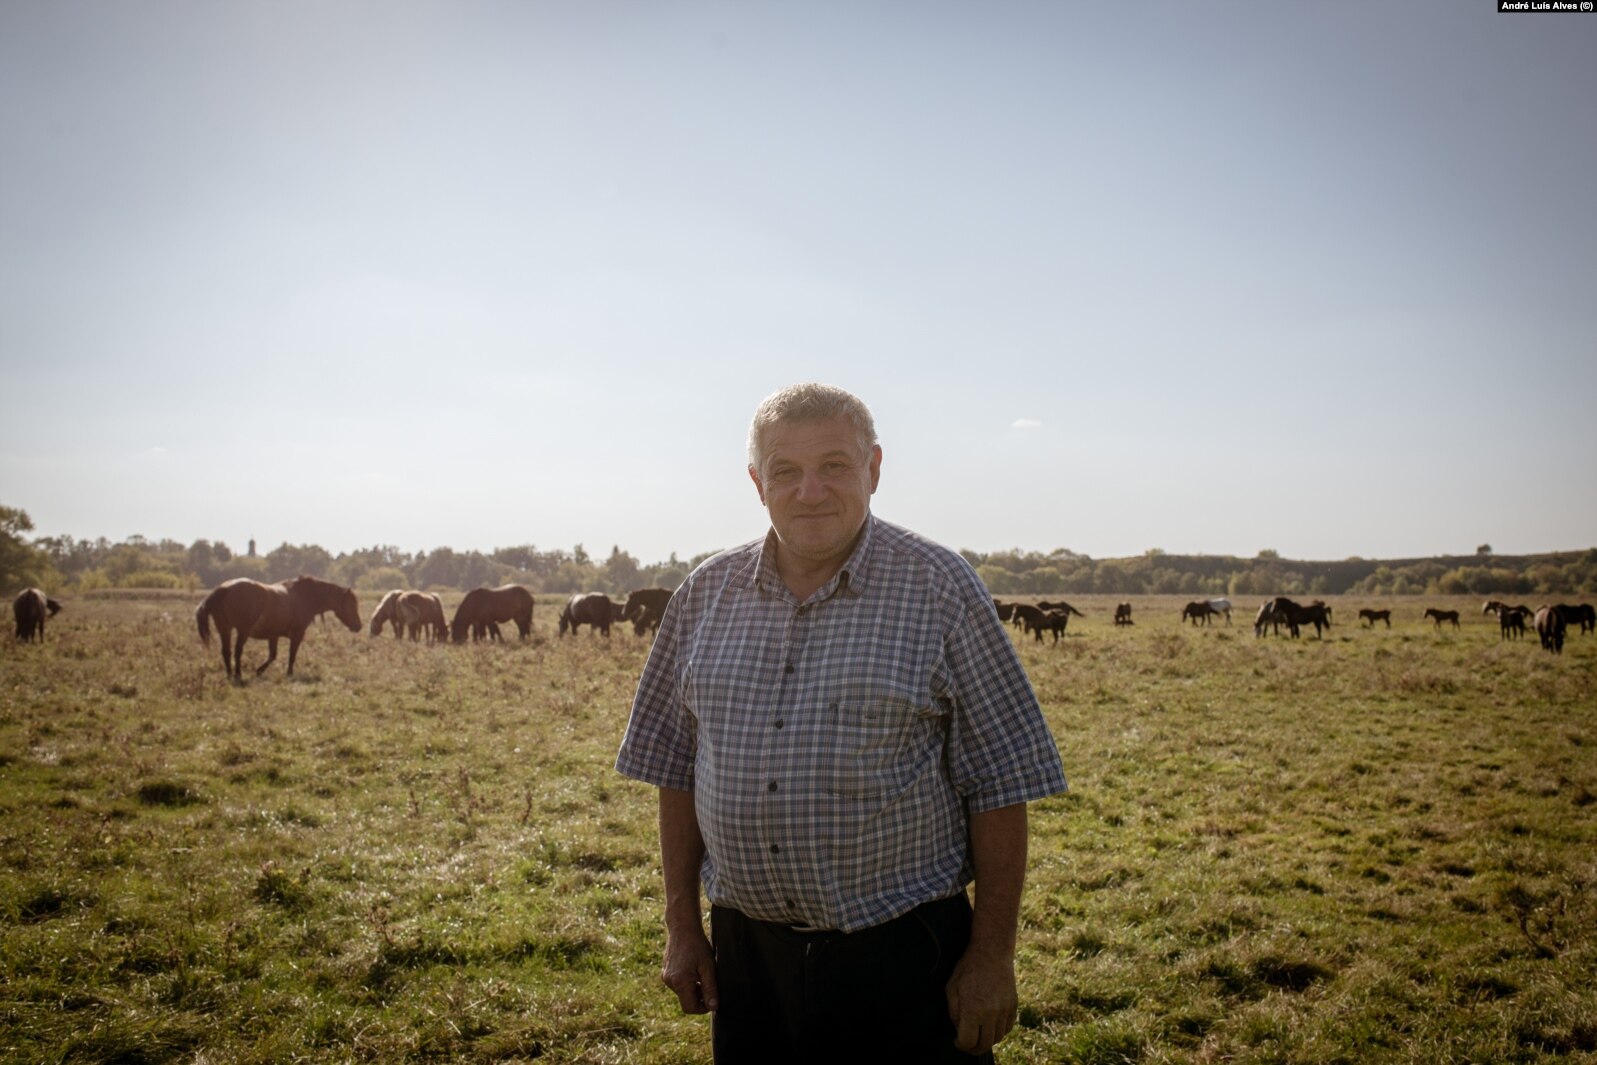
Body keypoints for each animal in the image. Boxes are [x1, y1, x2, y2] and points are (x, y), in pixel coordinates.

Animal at [196, 574, 362, 683]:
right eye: (351, 604)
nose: (358, 626)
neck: (305, 596)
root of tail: (223, 589)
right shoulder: (297, 634)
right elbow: (291, 655)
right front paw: (289, 673)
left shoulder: (273, 635)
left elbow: (273, 655)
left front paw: (259, 671)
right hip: (242, 631)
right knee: (237, 651)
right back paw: (237, 675)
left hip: (225, 629)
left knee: (226, 652)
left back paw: (230, 675)